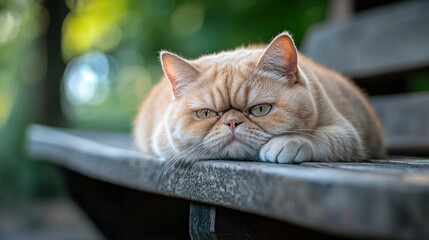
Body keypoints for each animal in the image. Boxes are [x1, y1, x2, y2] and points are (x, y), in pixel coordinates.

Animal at [133, 31, 384, 163]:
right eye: (205, 113)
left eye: (260, 109)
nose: (232, 122)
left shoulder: (347, 133)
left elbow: (317, 137)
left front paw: (287, 143)